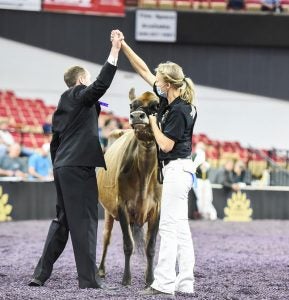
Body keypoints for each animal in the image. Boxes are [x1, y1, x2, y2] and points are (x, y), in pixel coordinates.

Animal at [96, 88, 160, 286]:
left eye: (157, 105)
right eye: (132, 105)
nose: (136, 116)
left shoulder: (156, 208)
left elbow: (150, 247)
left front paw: (150, 279)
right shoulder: (121, 204)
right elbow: (127, 245)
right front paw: (126, 279)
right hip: (108, 211)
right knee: (106, 237)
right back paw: (100, 270)